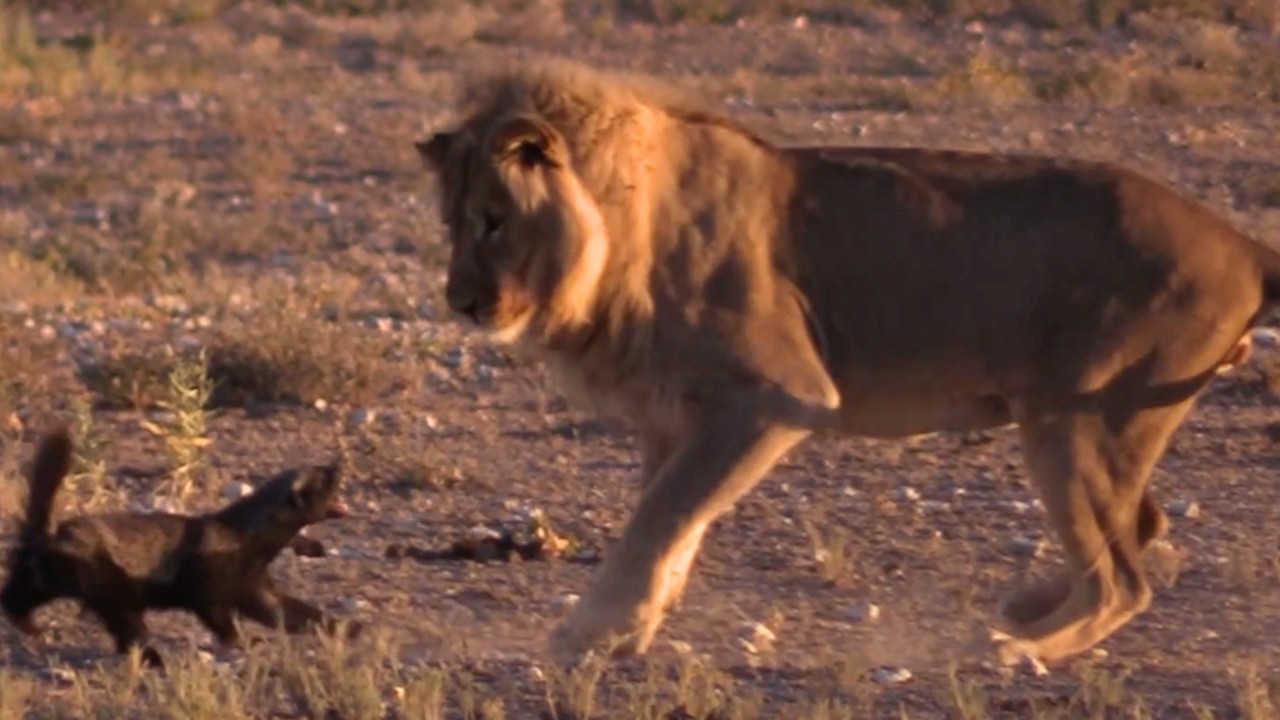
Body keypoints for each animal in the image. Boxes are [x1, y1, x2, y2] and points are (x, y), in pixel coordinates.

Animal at [414, 58, 1280, 669]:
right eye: (452, 223)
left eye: (493, 221)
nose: (461, 301)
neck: (621, 228)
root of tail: (1241, 243)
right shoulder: (676, 418)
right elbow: (669, 519)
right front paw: (632, 629)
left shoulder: (777, 396)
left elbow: (658, 520)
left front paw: (587, 635)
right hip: (1089, 430)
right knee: (1139, 532)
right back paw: (1025, 606)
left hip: (1076, 423)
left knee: (1123, 579)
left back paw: (1014, 649)